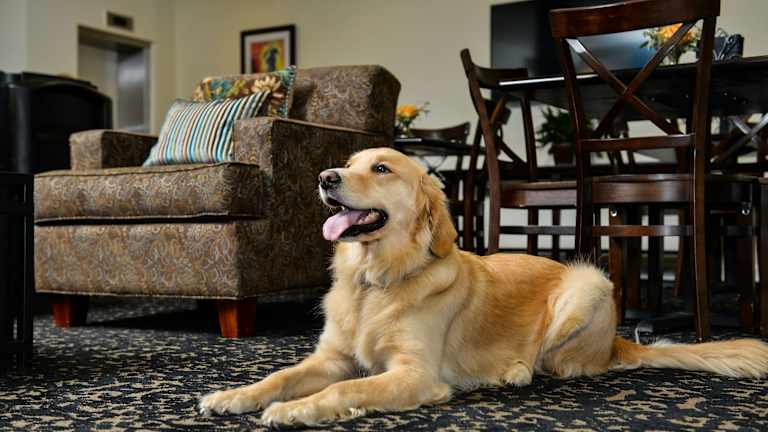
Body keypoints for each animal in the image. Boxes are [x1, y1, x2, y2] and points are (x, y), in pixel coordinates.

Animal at [199, 147, 768, 426]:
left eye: (380, 168)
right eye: (349, 163)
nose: (325, 177)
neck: (375, 281)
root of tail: (618, 342)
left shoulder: (415, 374)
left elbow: (346, 388)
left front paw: (294, 410)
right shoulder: (332, 357)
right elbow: (280, 375)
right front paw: (235, 395)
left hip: (587, 282)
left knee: (555, 364)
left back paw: (513, 371)